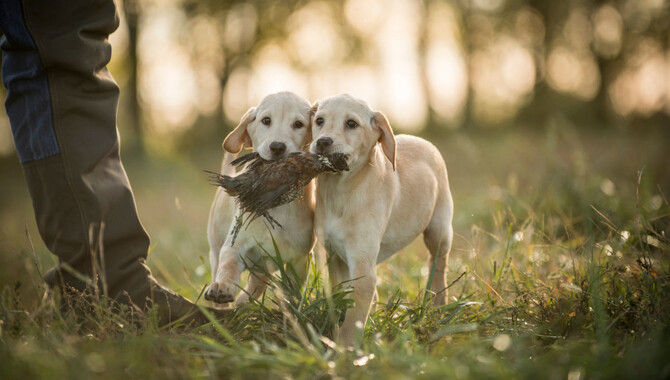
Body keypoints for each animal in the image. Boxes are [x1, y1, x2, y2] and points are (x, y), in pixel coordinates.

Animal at [206, 93, 316, 306]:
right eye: (266, 120)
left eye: (298, 124)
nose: (278, 147)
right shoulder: (234, 245)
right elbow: (229, 266)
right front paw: (222, 286)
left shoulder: (300, 259)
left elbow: (293, 289)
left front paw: (292, 309)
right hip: (216, 248)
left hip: (264, 266)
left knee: (257, 284)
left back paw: (242, 303)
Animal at [312, 93, 454, 344]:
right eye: (319, 121)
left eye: (351, 124)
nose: (322, 142)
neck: (339, 192)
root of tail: (422, 140)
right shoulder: (336, 256)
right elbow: (342, 298)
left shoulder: (363, 268)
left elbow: (352, 321)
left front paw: (342, 349)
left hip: (439, 229)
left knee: (438, 264)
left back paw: (437, 304)